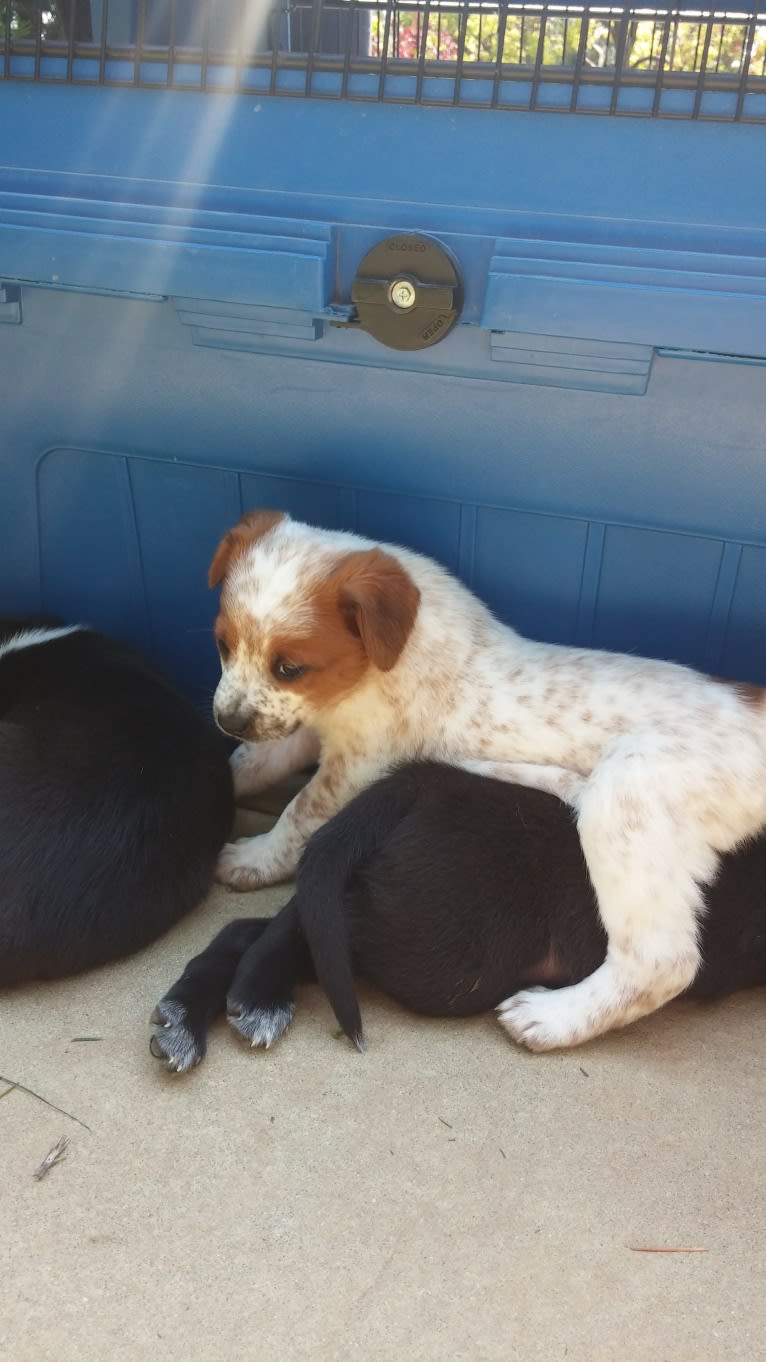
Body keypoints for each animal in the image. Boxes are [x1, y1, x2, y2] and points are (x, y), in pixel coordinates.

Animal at [149, 762, 763, 1067]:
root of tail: (419, 781)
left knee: (268, 925)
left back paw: (191, 1016)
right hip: (458, 949)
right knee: (313, 930)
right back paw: (252, 997)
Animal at [207, 512, 763, 1051]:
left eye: (290, 667)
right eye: (222, 645)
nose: (226, 719)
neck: (381, 666)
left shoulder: (355, 765)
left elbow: (297, 814)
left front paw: (254, 858)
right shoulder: (304, 726)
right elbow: (249, 762)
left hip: (625, 798)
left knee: (662, 961)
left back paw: (553, 1019)